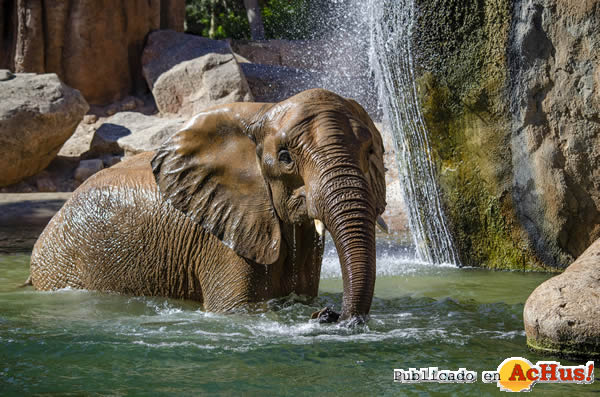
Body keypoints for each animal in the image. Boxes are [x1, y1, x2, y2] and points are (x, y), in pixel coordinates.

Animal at [28, 87, 386, 322]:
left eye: (371, 152)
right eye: (285, 158)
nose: (327, 313)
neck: (262, 111)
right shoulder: (219, 240)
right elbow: (234, 309)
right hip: (61, 267)